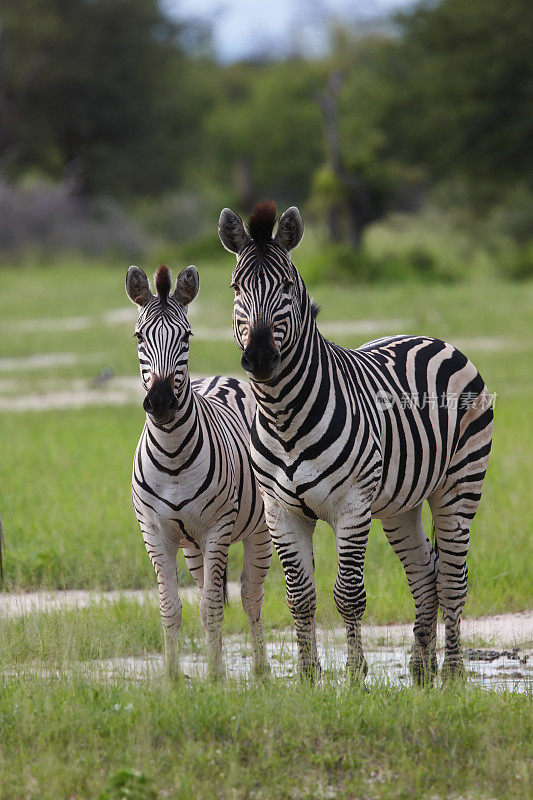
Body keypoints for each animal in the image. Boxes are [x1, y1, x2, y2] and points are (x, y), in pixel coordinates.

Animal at [127, 262, 272, 676]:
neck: (173, 456)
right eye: (139, 336)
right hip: (192, 548)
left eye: (187, 336)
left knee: (251, 596)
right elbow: (171, 608)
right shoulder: (155, 532)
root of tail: (225, 379)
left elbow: (210, 608)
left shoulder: (217, 528)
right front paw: (174, 677)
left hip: (259, 531)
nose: (160, 402)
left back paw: (260, 670)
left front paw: (216, 678)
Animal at [218, 200, 492, 680]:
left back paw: (454, 675)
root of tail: (433, 339)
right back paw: (421, 671)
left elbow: (348, 595)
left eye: (285, 286)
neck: (283, 415)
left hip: (459, 486)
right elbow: (299, 597)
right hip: (399, 505)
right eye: (237, 287)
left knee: (452, 580)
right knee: (425, 573)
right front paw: (308, 677)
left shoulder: (351, 506)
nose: (261, 358)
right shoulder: (281, 512)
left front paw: (354, 677)